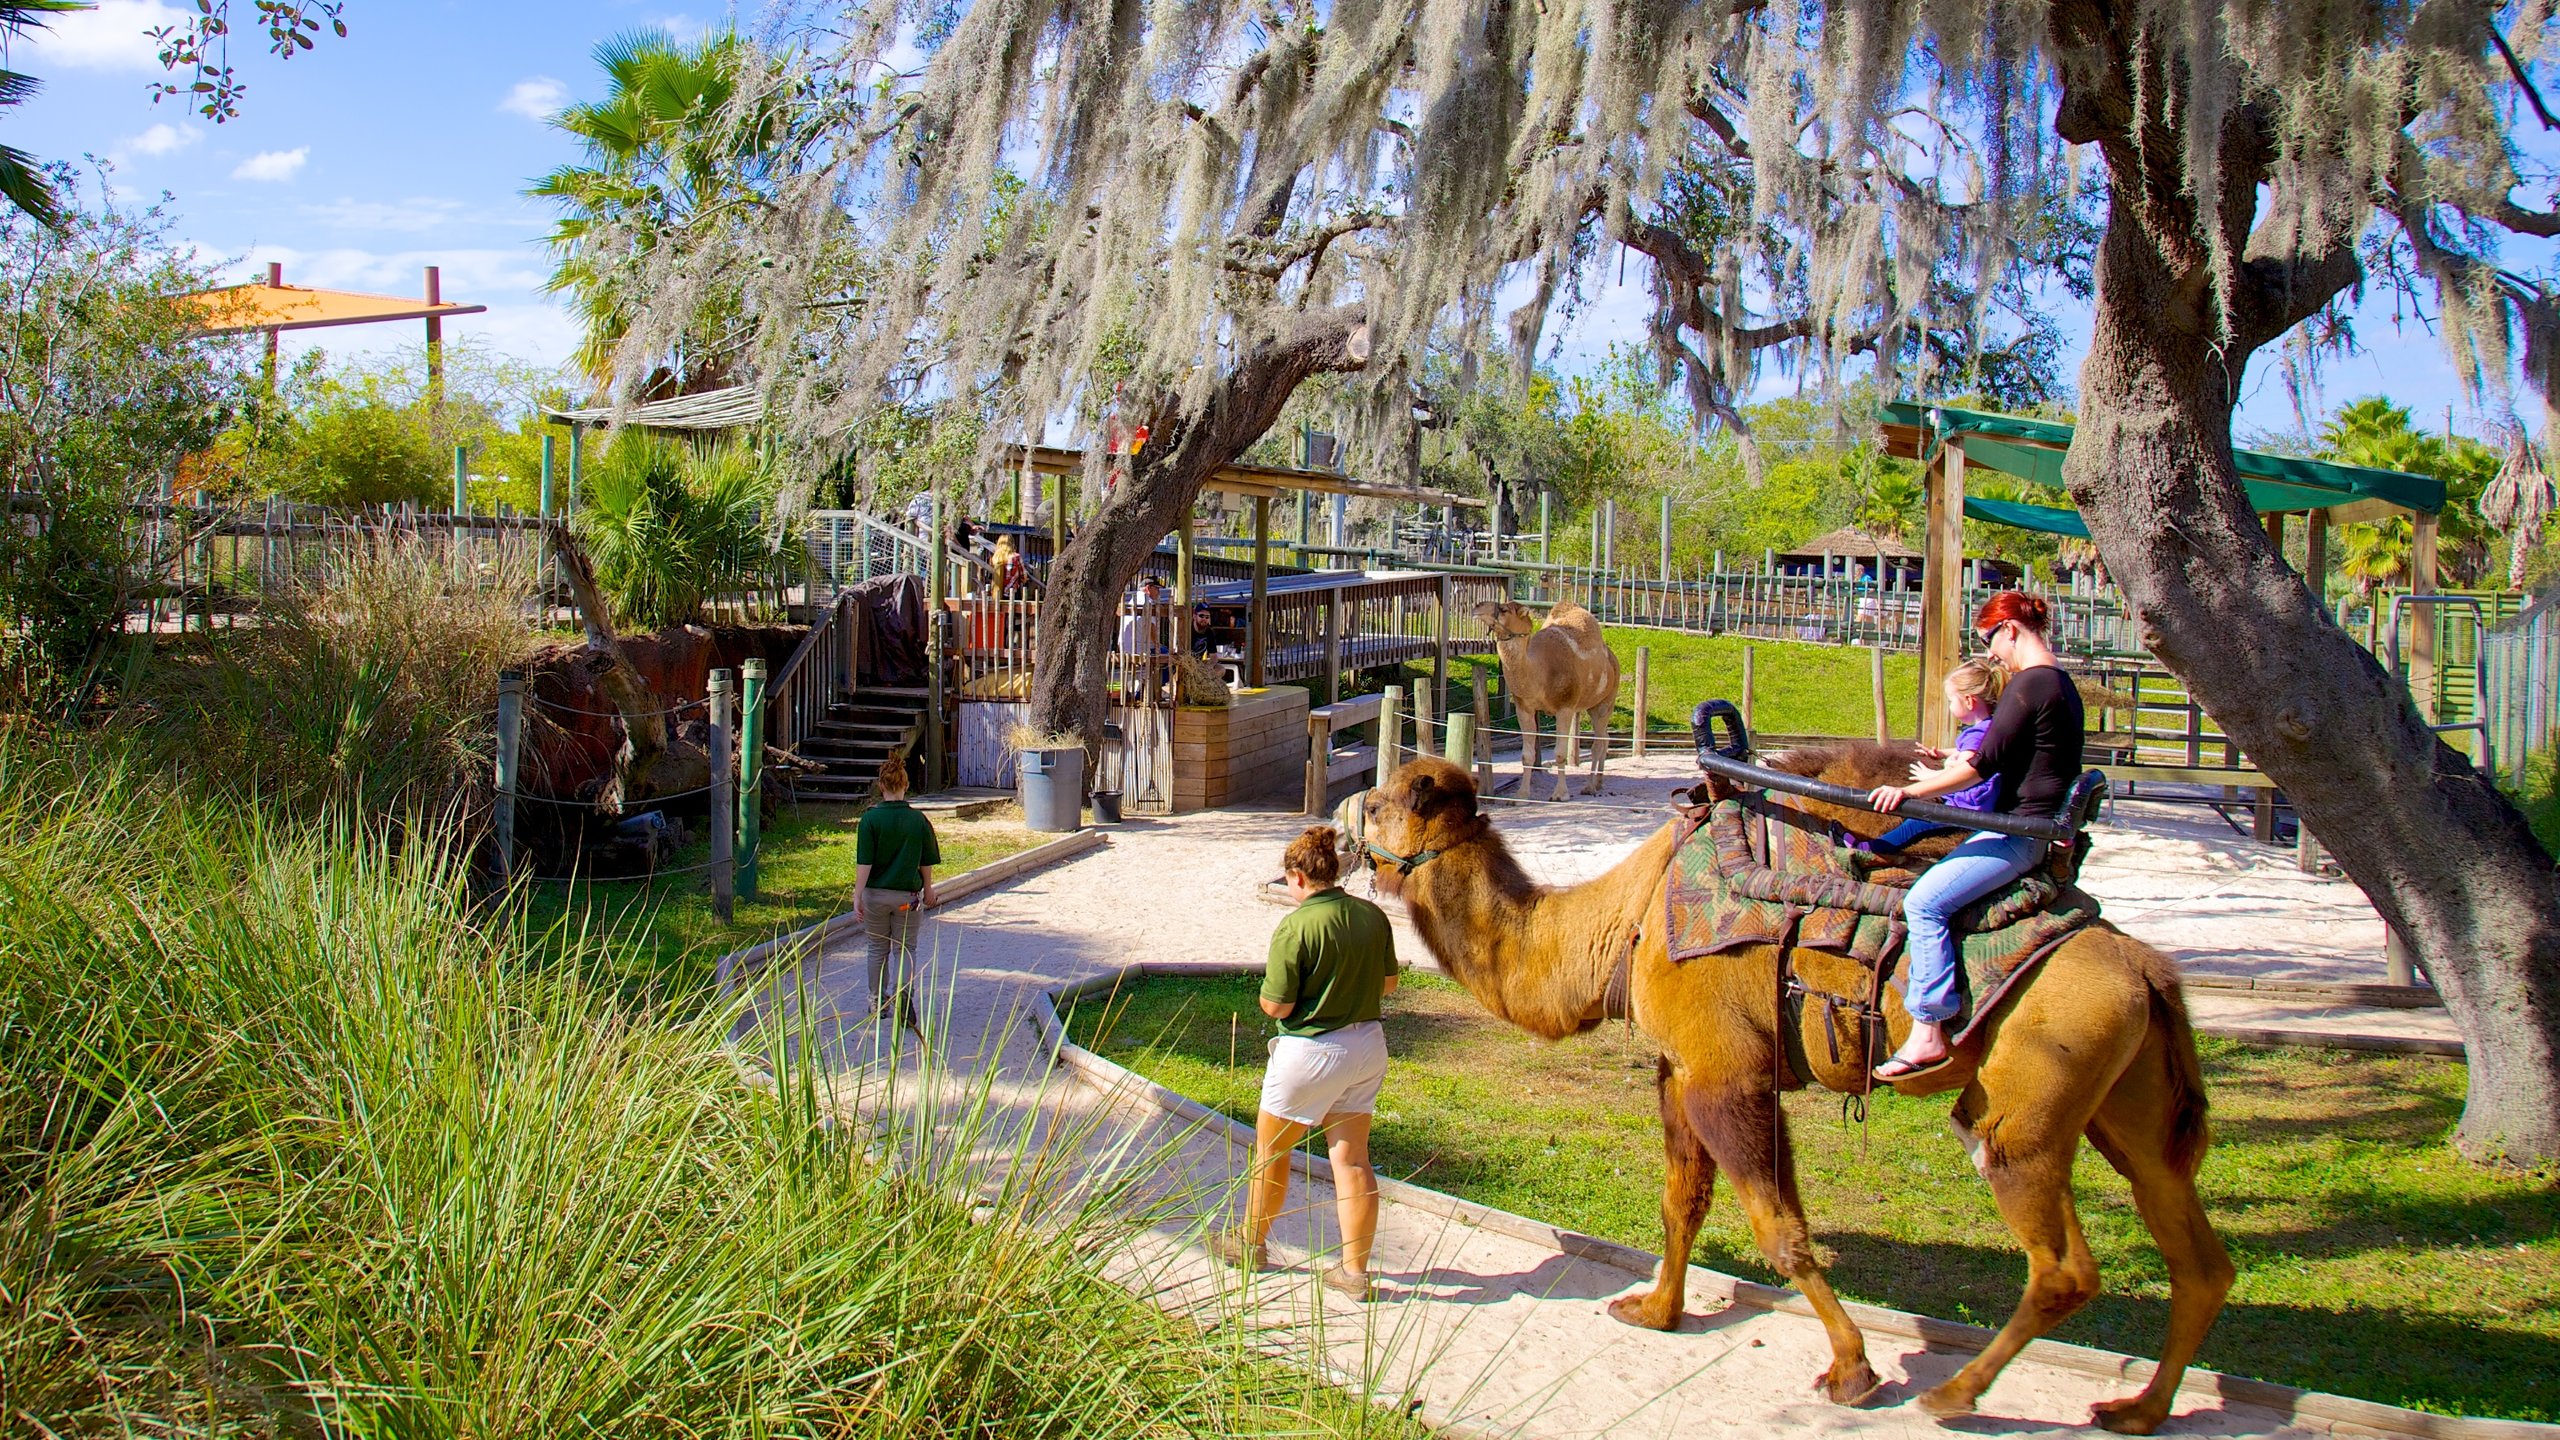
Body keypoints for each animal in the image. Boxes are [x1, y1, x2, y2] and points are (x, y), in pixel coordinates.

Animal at [1361, 743, 2222, 1424]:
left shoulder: (1727, 1073)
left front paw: (1852, 1370)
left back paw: (1952, 1396)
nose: (1346, 823)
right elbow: (1683, 1200)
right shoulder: (1683, 1067)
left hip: (2027, 1102)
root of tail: (2148, 972)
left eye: (1376, 806)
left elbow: (1779, 1229)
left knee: (2063, 1262)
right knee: (2192, 1249)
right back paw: (2136, 1409)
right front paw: (1654, 1310)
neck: (1626, 920)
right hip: (2126, 1103)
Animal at [1464, 591, 1617, 794]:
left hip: (1607, 700)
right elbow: (1527, 755)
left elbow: (1560, 753)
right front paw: (1522, 794)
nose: (1477, 606)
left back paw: (1590, 786)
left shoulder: (1564, 708)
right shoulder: (1524, 708)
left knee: (1598, 742)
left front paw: (1560, 794)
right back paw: (1598, 782)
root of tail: (1612, 658)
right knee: (1605, 738)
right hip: (1592, 706)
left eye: (1504, 609)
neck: (1540, 671)